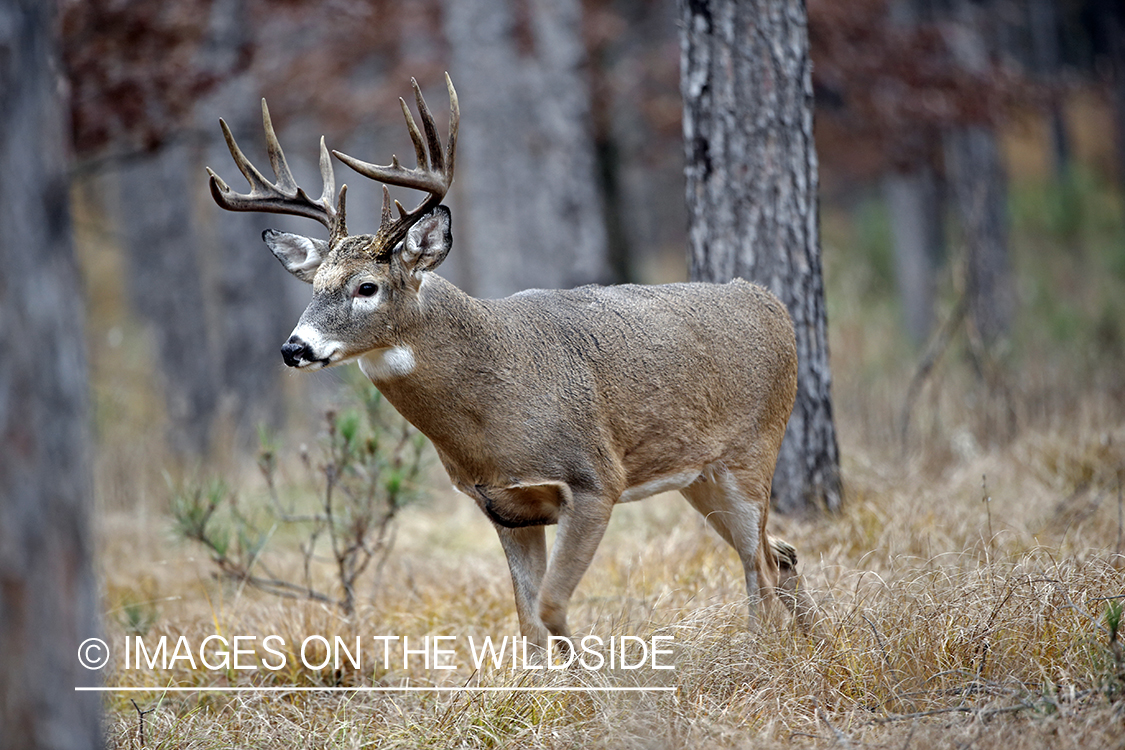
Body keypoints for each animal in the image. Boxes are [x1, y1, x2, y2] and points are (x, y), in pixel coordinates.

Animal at [207, 77, 814, 652]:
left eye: (367, 287)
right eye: (314, 286)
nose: (294, 348)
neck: (492, 417)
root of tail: (770, 301)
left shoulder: (595, 479)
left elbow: (550, 606)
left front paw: (594, 686)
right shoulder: (504, 507)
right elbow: (528, 625)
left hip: (752, 450)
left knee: (760, 566)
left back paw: (765, 654)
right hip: (698, 472)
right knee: (780, 553)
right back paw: (810, 642)